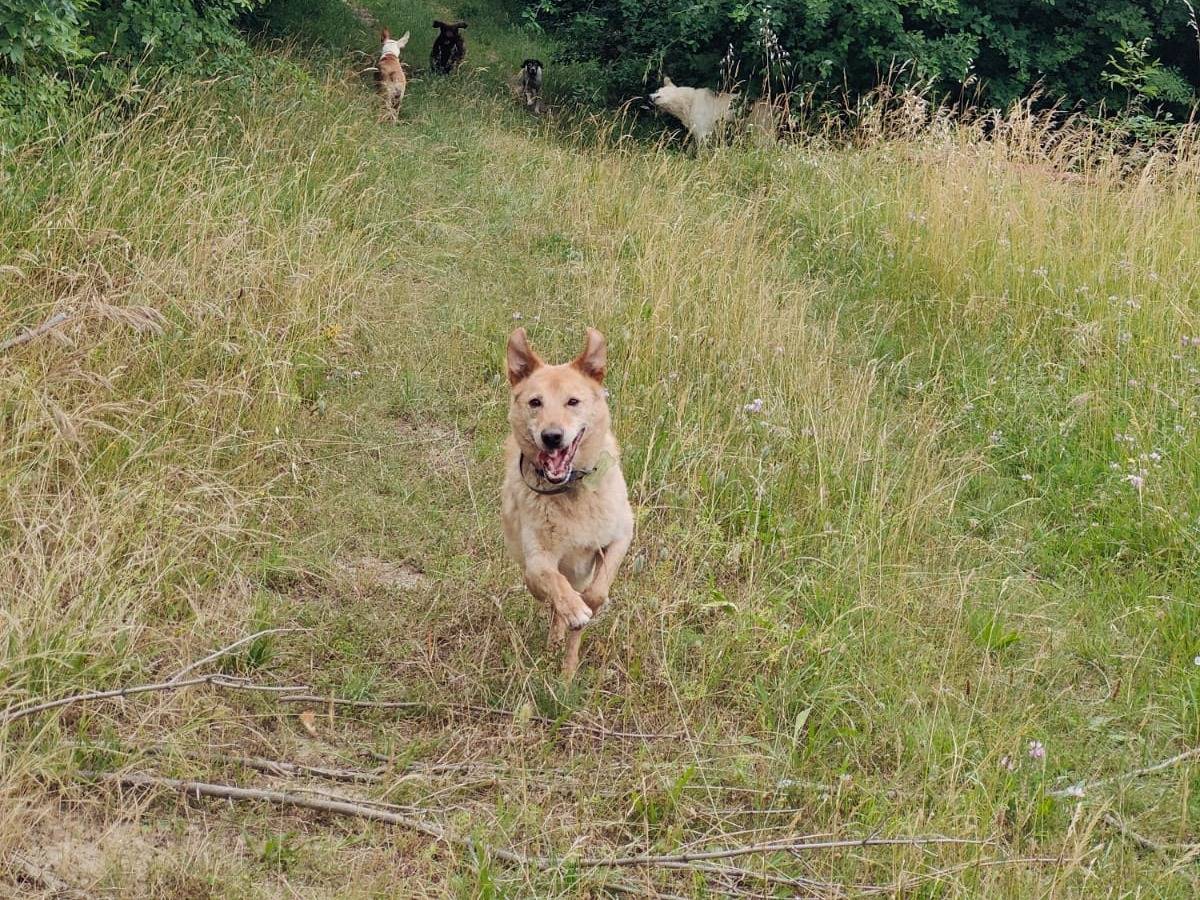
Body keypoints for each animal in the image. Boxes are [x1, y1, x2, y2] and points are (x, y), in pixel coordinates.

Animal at [501, 328, 638, 681]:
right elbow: (554, 584)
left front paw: (588, 604)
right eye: (535, 402)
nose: (552, 436)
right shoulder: (539, 561)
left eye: (573, 402)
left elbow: (598, 590)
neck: (571, 490)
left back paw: (567, 671)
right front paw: (574, 608)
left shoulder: (621, 536)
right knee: (550, 600)